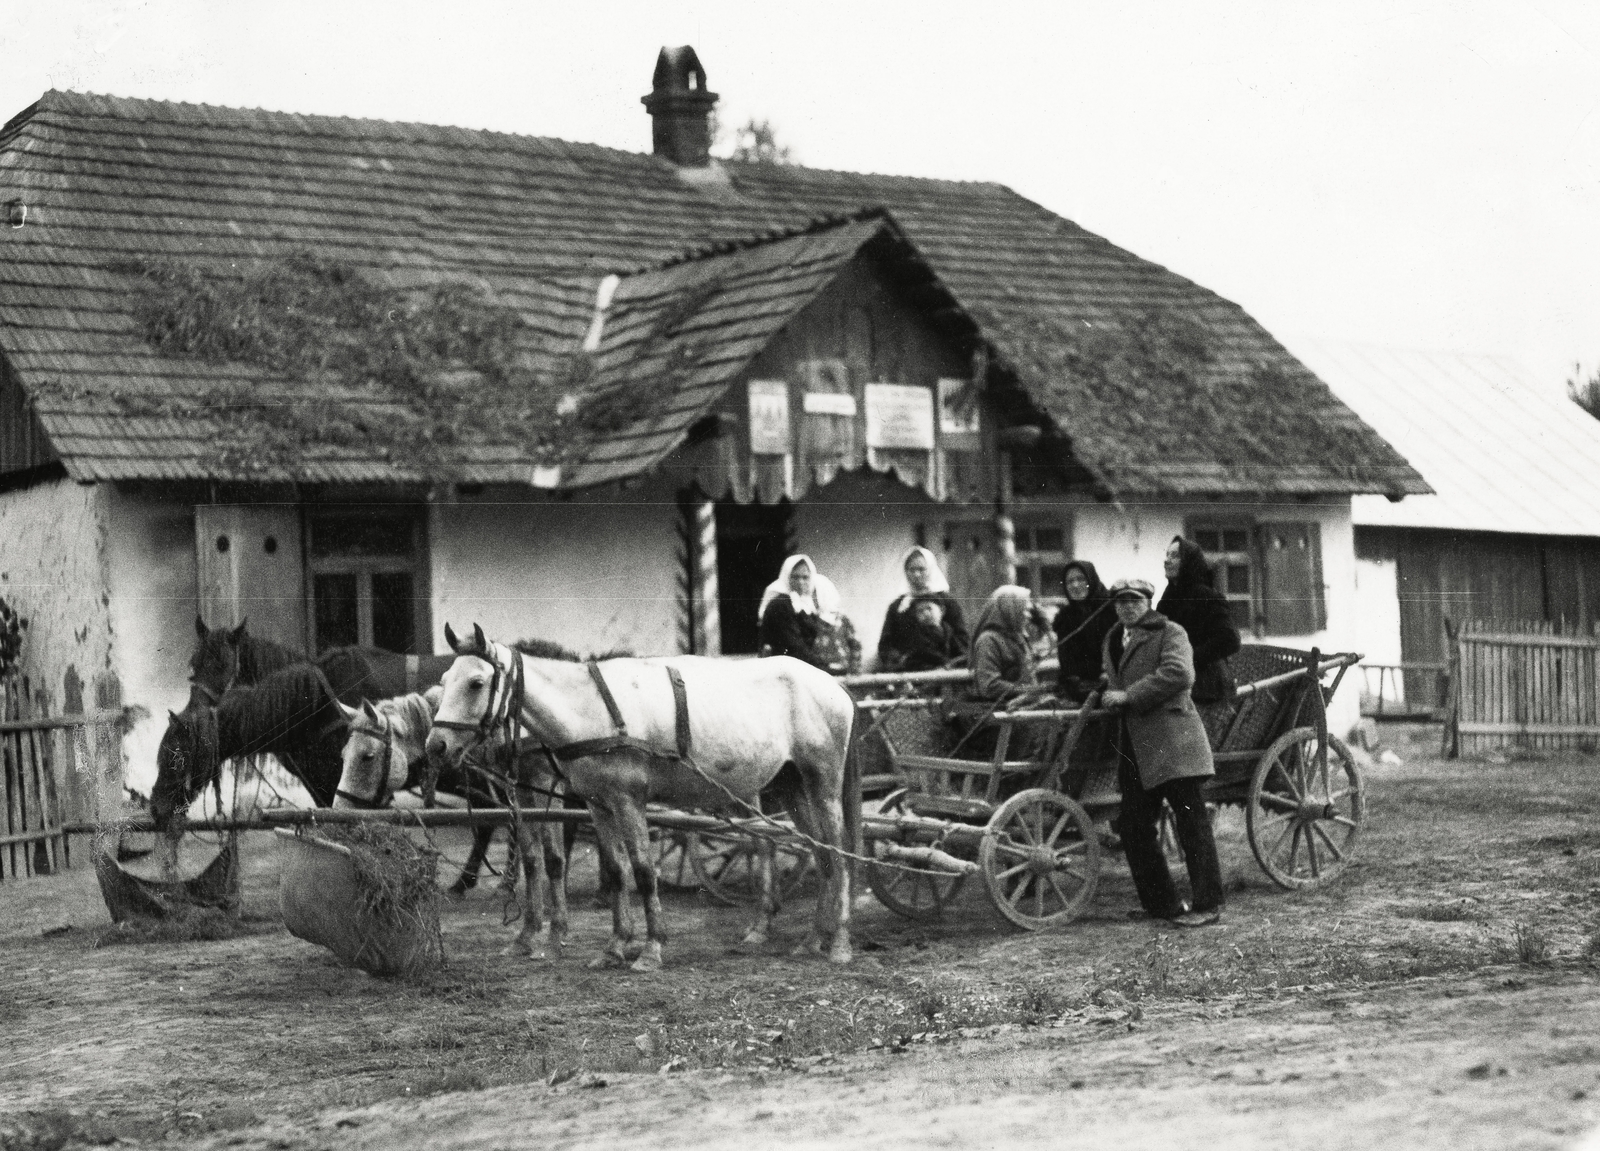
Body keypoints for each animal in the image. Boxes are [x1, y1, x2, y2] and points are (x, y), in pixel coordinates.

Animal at [328, 688, 572, 960]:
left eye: (367, 756)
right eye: (343, 755)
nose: (340, 810)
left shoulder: (545, 786)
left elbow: (553, 858)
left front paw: (556, 934)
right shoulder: (520, 792)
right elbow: (532, 860)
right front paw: (527, 934)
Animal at [419, 624, 857, 966]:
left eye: (476, 683)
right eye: (445, 681)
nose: (436, 745)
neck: (593, 711)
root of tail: (834, 686)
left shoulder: (627, 801)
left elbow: (643, 871)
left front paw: (650, 949)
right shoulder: (598, 804)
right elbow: (614, 870)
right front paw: (614, 946)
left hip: (822, 781)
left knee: (836, 851)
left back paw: (839, 943)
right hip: (790, 785)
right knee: (818, 852)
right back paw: (812, 939)